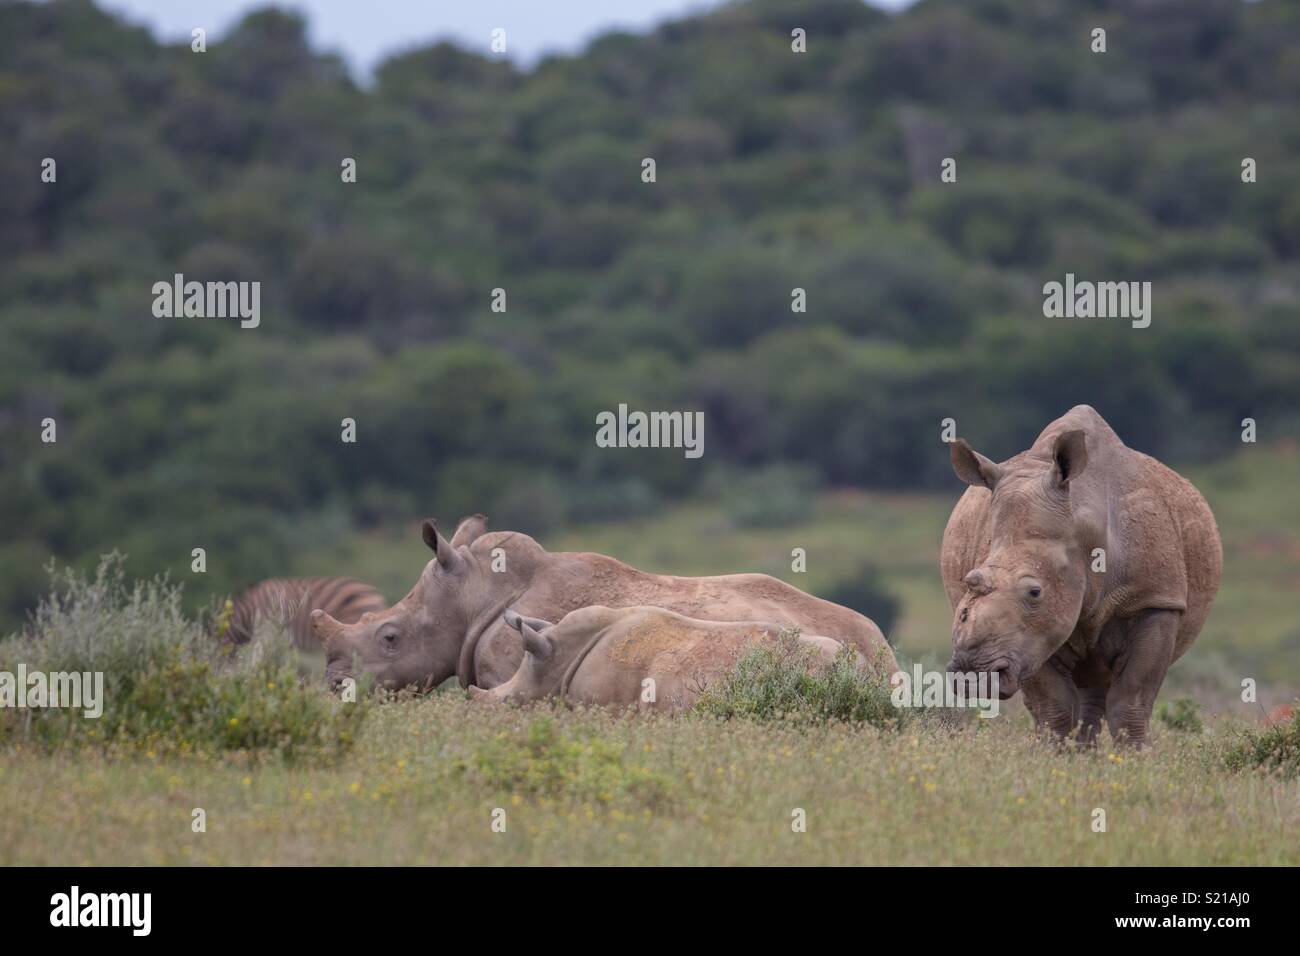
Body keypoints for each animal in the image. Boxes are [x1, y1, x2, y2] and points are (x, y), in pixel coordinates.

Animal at [946, 403, 1216, 749]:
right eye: (969, 581)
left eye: (1035, 592)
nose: (973, 675)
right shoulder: (1034, 635)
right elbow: (1054, 704)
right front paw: (1054, 756)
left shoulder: (1155, 599)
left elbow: (1132, 699)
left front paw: (1137, 757)